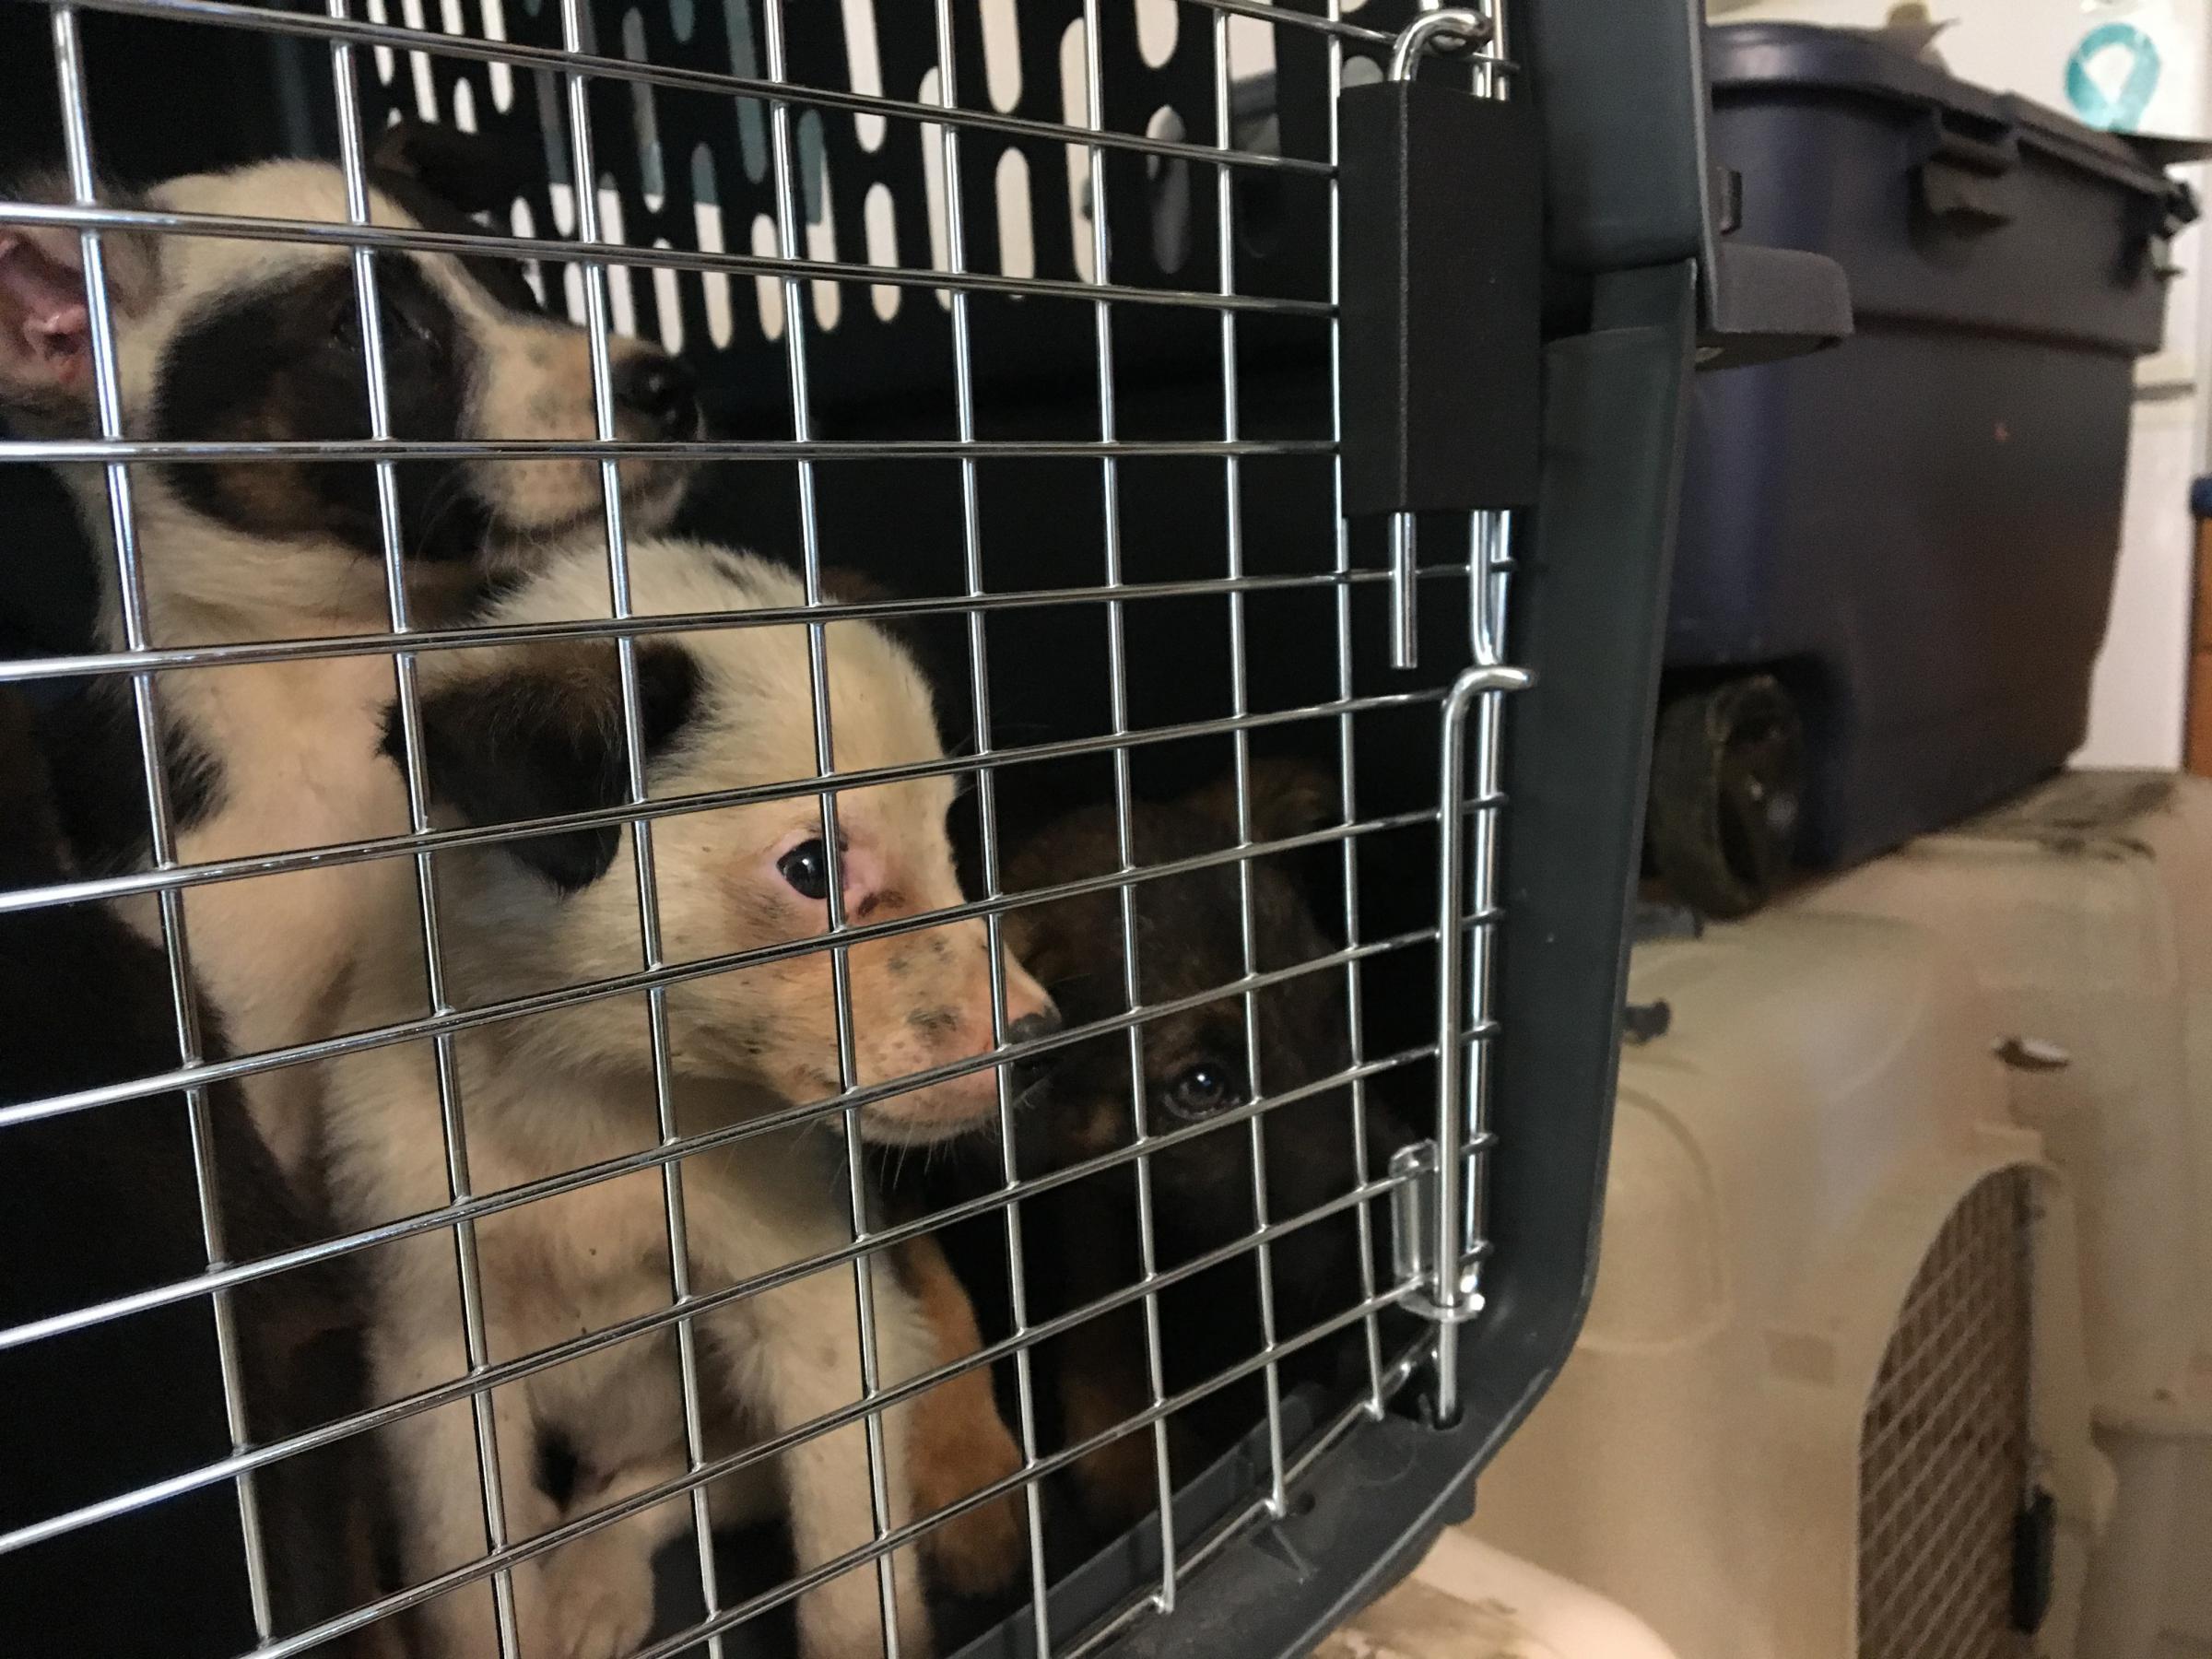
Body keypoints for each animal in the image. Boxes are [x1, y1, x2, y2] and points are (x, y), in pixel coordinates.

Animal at [321, 539, 1062, 1659]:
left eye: (946, 838)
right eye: (812, 866)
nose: (1039, 1046)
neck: (602, 1098)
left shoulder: (821, 1334)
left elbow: (852, 1582)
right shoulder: (439, 1369)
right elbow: (468, 1584)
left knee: (663, 1489)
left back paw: (596, 1577)